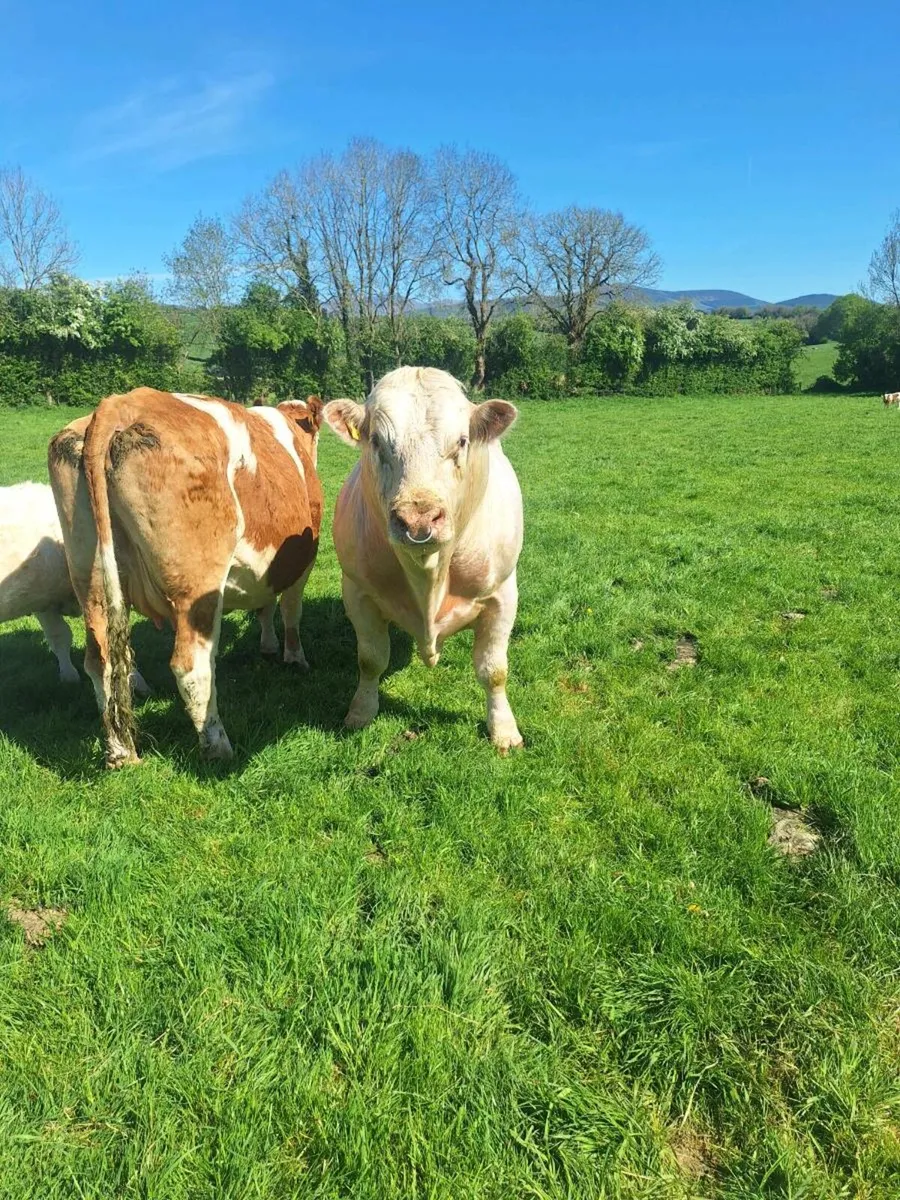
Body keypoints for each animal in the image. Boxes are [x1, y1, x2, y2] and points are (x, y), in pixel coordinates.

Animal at [48, 390, 324, 767]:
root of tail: (121, 402)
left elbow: (265, 607)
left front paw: (268, 646)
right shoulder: (302, 562)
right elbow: (290, 611)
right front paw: (295, 658)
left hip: (90, 582)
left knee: (99, 662)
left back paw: (121, 753)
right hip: (197, 588)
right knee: (191, 667)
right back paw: (219, 749)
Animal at [323, 366, 524, 753]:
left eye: (461, 441)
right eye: (376, 441)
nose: (418, 519)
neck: (427, 575)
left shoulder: (503, 595)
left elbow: (494, 670)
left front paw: (503, 729)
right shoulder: (356, 591)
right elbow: (370, 660)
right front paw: (361, 712)